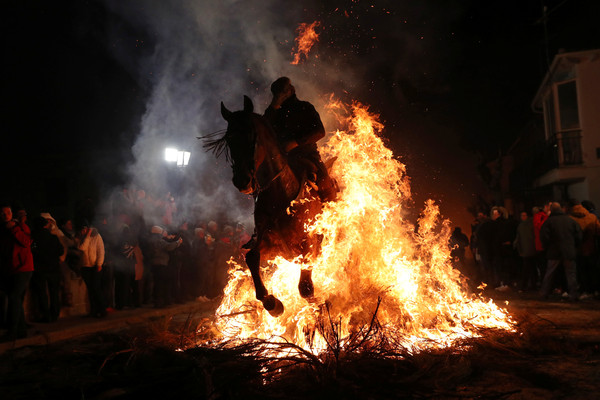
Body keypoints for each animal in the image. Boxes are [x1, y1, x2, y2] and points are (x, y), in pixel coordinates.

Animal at [207, 95, 328, 318]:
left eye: (251, 137)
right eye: (229, 140)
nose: (242, 181)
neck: (280, 195)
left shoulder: (309, 243)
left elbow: (305, 287)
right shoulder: (272, 246)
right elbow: (251, 257)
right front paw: (272, 302)